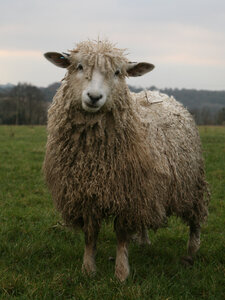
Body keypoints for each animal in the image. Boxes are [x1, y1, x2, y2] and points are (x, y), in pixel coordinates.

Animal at [43, 39, 209, 282]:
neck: (95, 158)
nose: (94, 97)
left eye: (117, 72)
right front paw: (88, 270)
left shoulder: (128, 193)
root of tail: (160, 94)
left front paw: (121, 273)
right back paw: (144, 240)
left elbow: (121, 234)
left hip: (190, 181)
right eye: (79, 66)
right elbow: (90, 234)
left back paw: (191, 252)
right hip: (149, 187)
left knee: (195, 217)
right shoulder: (87, 192)